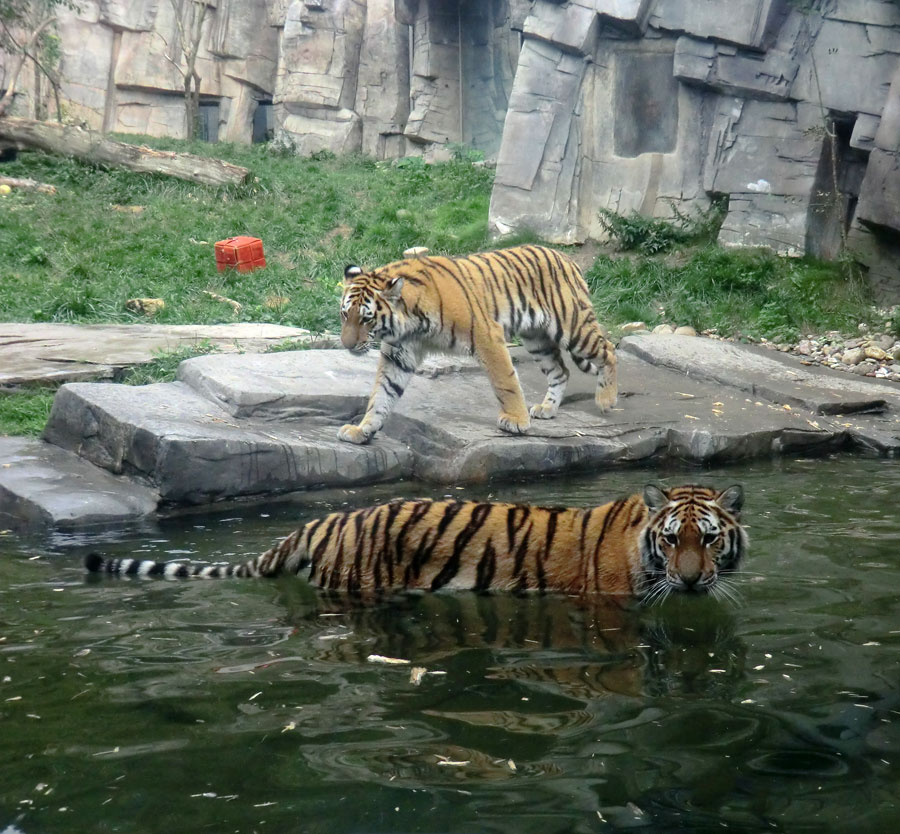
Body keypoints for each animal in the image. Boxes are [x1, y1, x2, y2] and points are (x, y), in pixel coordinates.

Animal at [334, 244, 616, 446]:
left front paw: (516, 420)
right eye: (345, 314)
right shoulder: (399, 355)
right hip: (537, 339)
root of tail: (567, 258)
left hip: (573, 326)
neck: (410, 321)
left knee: (609, 351)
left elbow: (506, 383)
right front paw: (362, 430)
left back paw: (606, 400)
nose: (346, 344)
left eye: (366, 318)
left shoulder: (487, 336)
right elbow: (382, 394)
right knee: (561, 371)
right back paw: (547, 408)